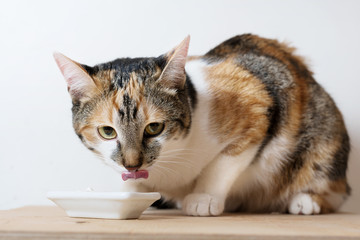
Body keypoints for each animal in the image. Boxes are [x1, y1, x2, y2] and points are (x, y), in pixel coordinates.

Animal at [54, 34, 350, 217]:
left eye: (154, 128)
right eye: (107, 132)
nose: (132, 164)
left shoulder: (258, 100)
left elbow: (224, 163)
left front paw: (203, 198)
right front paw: (130, 195)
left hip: (323, 140)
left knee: (333, 189)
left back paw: (305, 201)